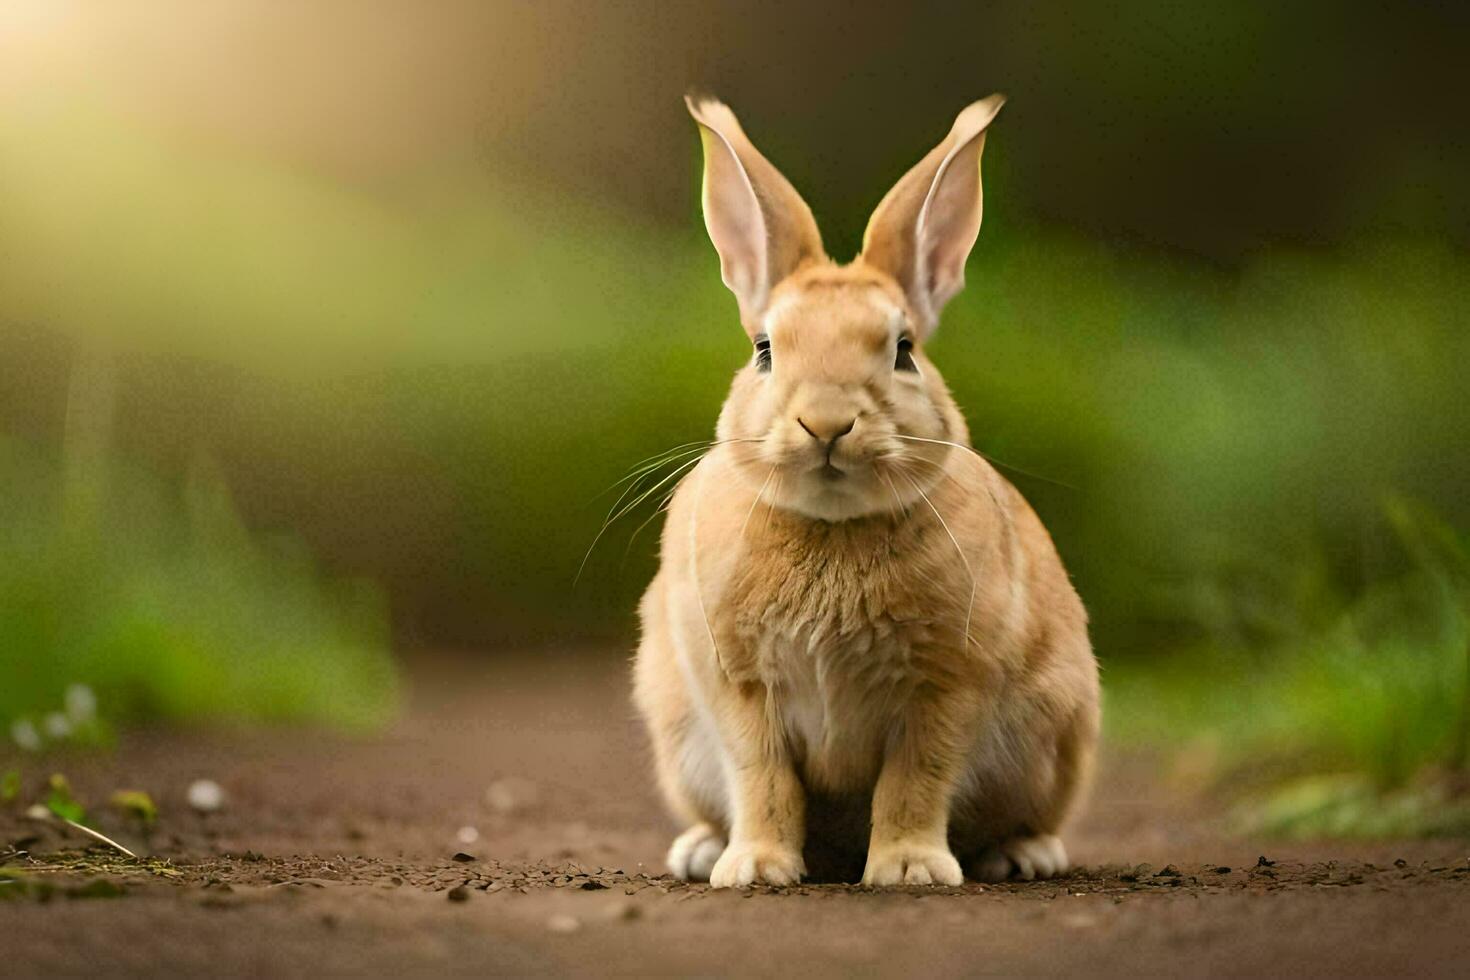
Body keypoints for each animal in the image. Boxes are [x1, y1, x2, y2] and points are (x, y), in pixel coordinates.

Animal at [632, 94, 1105, 887]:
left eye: (904, 350)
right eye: (764, 350)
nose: (826, 423)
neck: (831, 524)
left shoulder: (946, 685)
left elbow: (915, 778)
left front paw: (909, 870)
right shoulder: (739, 690)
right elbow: (762, 779)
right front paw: (755, 869)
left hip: (1054, 740)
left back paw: (1023, 856)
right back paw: (700, 851)